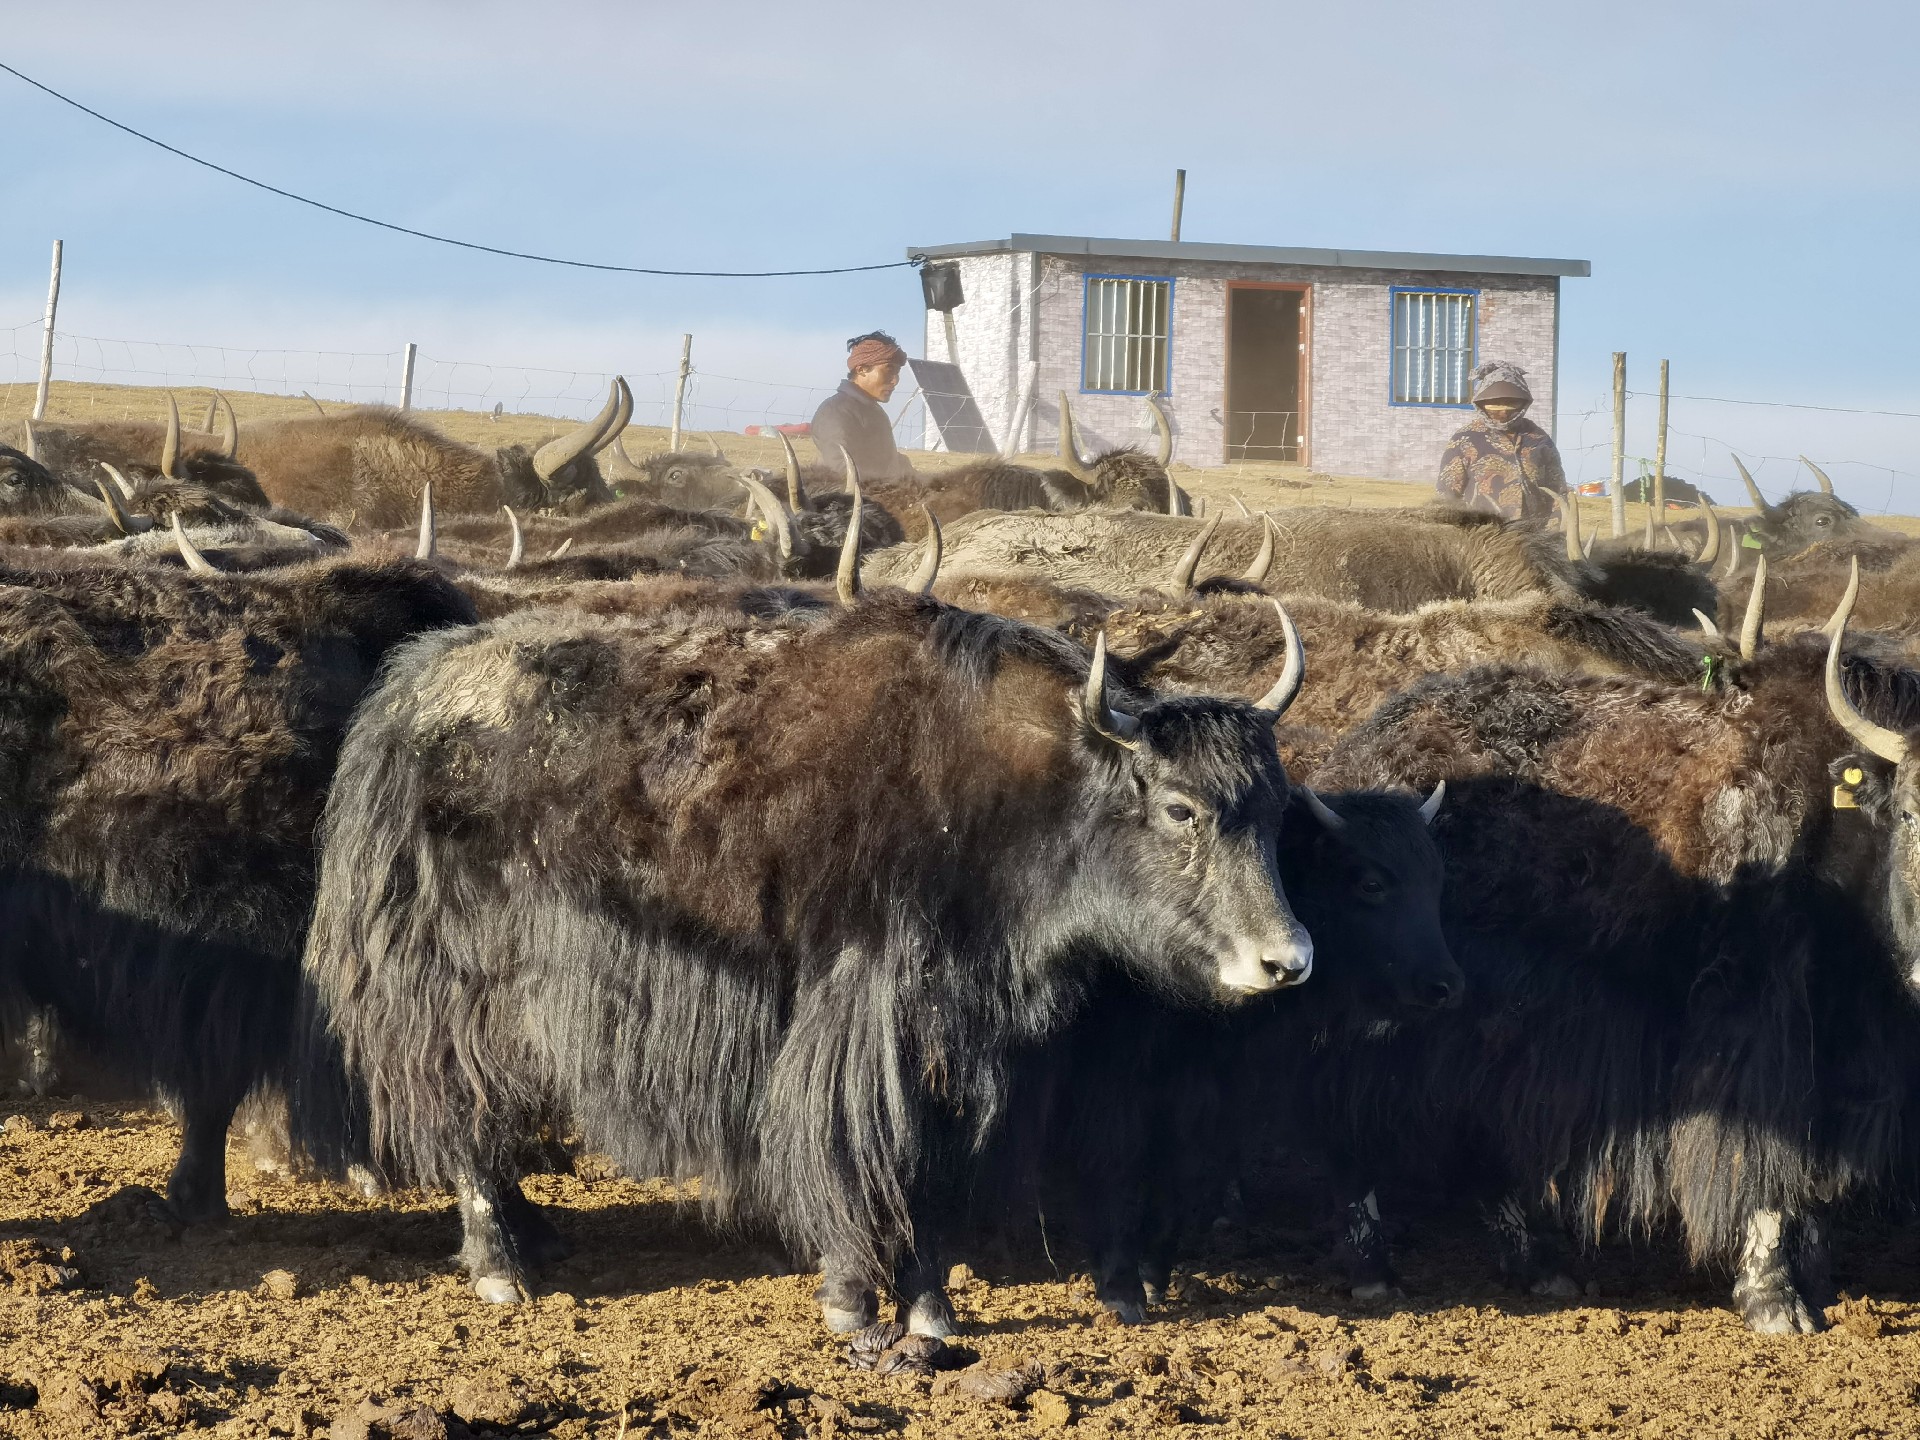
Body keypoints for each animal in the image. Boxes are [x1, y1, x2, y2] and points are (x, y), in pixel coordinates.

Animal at [302, 582, 1315, 1335]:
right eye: (1181, 810)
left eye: (1273, 813)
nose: (1289, 961)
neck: (1014, 790)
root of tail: (409, 687)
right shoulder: (866, 1015)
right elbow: (868, 1151)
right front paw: (859, 1305)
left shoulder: (954, 1032)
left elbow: (930, 1169)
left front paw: (929, 1311)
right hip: (451, 988)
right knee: (465, 1112)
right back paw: (502, 1269)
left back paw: (539, 1239)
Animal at [1290, 563, 1920, 1332]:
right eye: (1912, 811)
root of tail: (1354, 752)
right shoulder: (1752, 1027)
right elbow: (1769, 1165)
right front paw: (1774, 1298)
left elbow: (1817, 1178)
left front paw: (1817, 1277)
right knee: (1344, 1118)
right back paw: (1374, 1271)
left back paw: (1538, 1265)